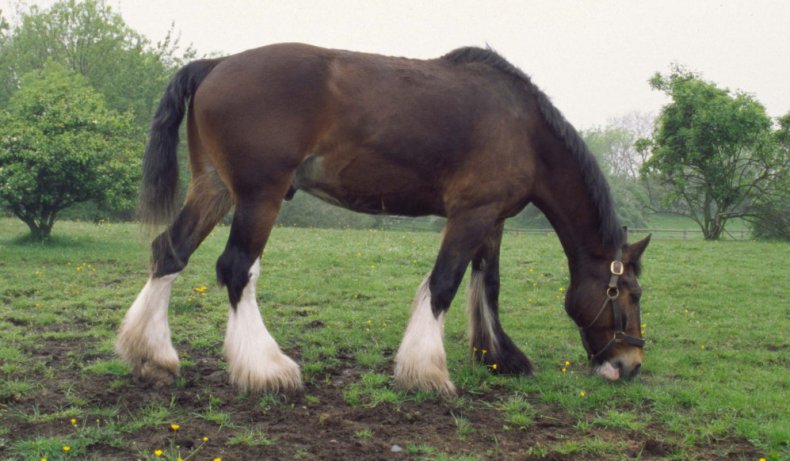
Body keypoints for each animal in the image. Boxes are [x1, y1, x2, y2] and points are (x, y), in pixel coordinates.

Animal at [116, 44, 648, 396]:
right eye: (630, 294)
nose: (631, 362)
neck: (524, 129)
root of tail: (216, 65)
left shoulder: (492, 219)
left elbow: (488, 285)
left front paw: (499, 356)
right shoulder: (469, 215)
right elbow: (444, 285)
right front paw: (427, 372)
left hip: (214, 189)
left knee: (169, 252)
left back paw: (152, 356)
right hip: (257, 198)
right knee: (236, 269)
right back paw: (266, 368)